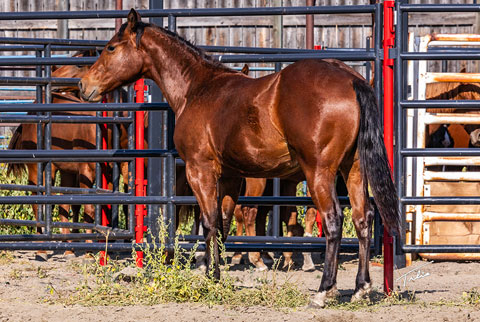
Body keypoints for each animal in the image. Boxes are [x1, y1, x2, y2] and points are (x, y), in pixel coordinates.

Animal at [79, 8, 402, 306]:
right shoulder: (231, 176)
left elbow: (209, 222)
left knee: (333, 220)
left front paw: (210, 276)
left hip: (319, 172)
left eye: (111, 47)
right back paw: (361, 288)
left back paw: (324, 291)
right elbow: (222, 223)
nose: (84, 85)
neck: (197, 88)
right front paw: (216, 273)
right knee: (363, 218)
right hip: (353, 169)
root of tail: (350, 79)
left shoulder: (200, 170)